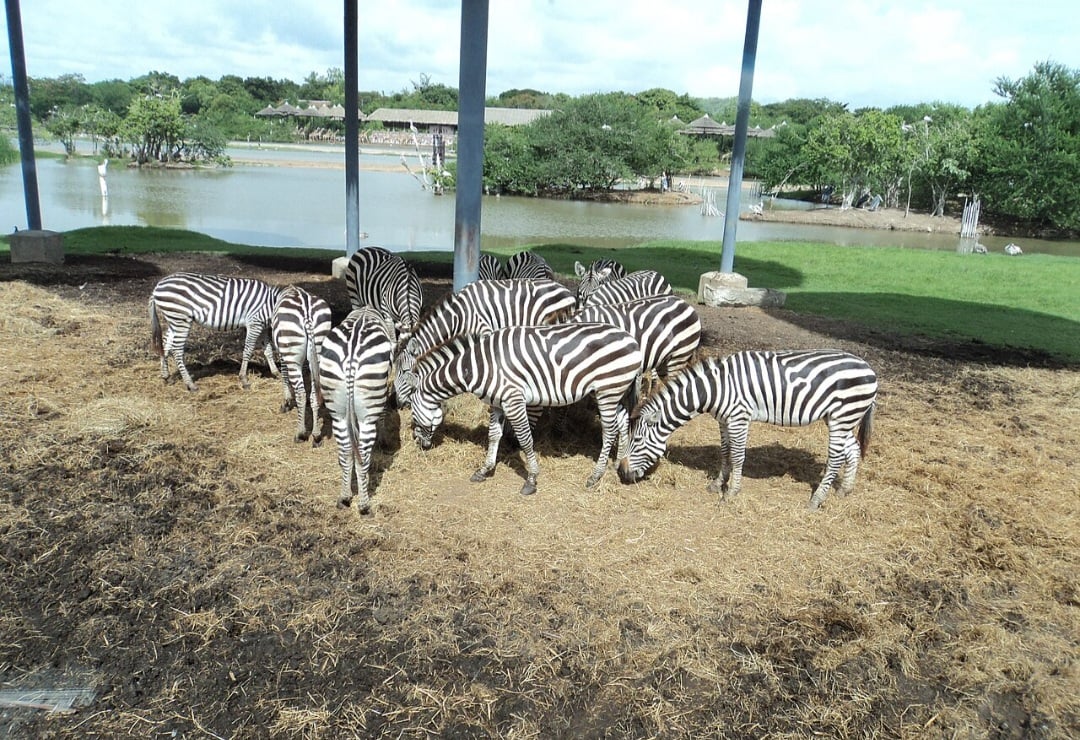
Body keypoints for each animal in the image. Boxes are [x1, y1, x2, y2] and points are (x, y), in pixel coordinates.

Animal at [149, 272, 282, 392]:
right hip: (181, 319)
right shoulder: (254, 323)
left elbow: (268, 351)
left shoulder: (263, 327)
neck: (271, 304)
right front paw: (244, 379)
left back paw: (166, 377)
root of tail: (157, 286)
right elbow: (248, 351)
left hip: (174, 321)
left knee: (165, 345)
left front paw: (276, 373)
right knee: (177, 350)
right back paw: (190, 384)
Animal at [271, 285, 333, 443]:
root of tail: (307, 313)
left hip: (292, 353)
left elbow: (284, 374)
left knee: (301, 393)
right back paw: (316, 435)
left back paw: (301, 433)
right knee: (314, 393)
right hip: (319, 347)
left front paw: (286, 402)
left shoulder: (282, 353)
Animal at [318, 307, 394, 514]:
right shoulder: (384, 388)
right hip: (368, 410)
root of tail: (351, 353)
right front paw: (384, 441)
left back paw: (345, 497)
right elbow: (383, 415)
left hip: (338, 411)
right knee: (362, 455)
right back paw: (364, 504)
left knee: (346, 451)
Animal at [410, 323, 643, 496]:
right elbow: (493, 436)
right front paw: (484, 470)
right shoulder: (497, 403)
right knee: (623, 422)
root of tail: (632, 340)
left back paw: (595, 476)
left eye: (411, 415)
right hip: (616, 391)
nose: (420, 445)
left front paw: (531, 479)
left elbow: (525, 438)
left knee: (609, 431)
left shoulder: (513, 400)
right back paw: (617, 463)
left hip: (608, 390)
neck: (477, 366)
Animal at [618, 350, 878, 510]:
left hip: (842, 417)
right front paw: (717, 485)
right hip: (839, 418)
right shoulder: (723, 420)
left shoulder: (739, 418)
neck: (714, 389)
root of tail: (869, 368)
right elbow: (724, 453)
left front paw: (731, 492)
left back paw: (816, 499)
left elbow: (737, 456)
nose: (621, 473)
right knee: (853, 449)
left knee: (835, 458)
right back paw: (844, 489)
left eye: (637, 440)